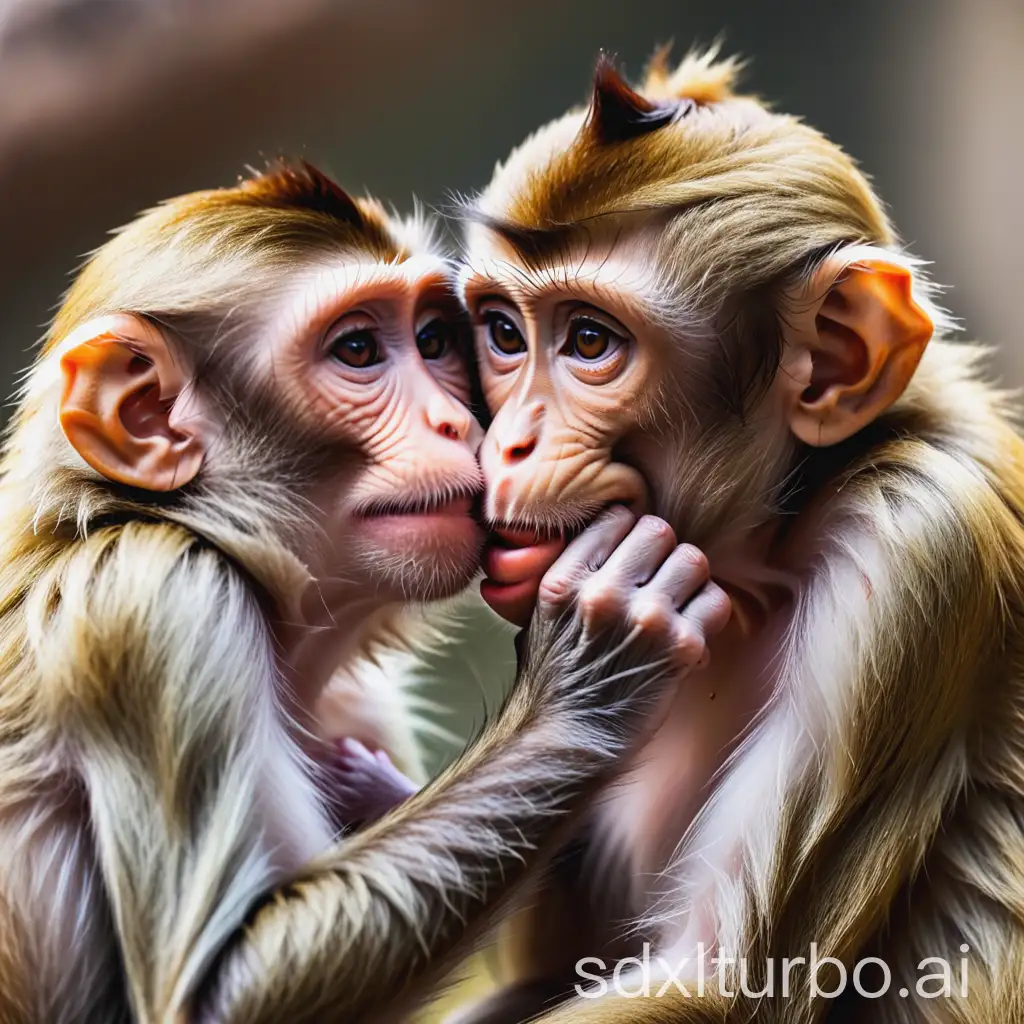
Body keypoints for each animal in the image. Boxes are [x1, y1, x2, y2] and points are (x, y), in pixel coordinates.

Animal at [0, 158, 734, 1024]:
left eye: (433, 340)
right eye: (356, 349)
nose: (458, 423)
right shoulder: (155, 597)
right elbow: (214, 993)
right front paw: (593, 672)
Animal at [448, 47, 1024, 1024]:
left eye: (590, 341)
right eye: (502, 333)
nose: (509, 441)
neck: (769, 546)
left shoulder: (916, 544)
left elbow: (722, 986)